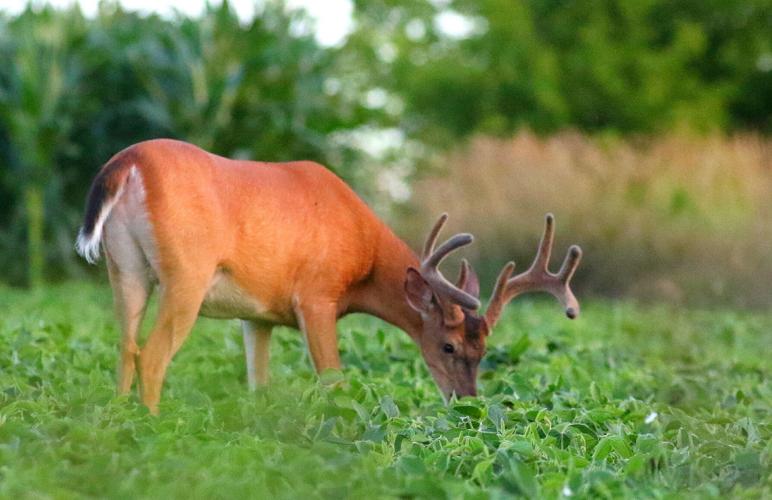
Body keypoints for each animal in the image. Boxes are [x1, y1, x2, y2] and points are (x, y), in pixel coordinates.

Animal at [75, 139, 582, 414]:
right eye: (448, 346)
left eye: (485, 351)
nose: (466, 400)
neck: (362, 255)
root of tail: (127, 165)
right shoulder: (316, 297)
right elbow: (334, 382)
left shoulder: (257, 315)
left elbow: (259, 384)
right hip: (186, 274)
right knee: (151, 355)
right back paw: (152, 425)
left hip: (125, 269)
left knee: (124, 348)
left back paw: (119, 421)